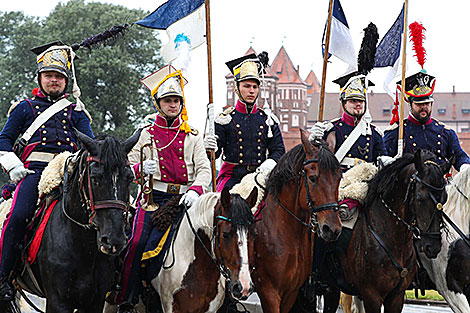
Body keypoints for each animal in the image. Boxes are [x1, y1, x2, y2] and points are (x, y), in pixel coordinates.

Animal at [2, 129, 141, 312]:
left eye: (130, 177)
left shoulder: (95, 301)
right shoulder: (58, 301)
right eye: (95, 177)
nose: (114, 240)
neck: (83, 247)